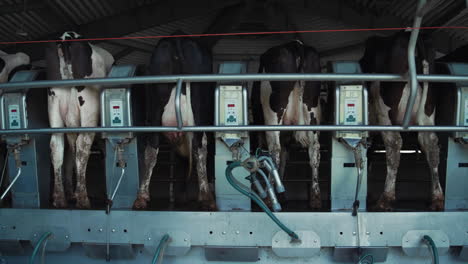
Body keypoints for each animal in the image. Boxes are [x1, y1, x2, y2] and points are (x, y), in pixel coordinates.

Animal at [46, 31, 115, 208]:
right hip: (89, 109)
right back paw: (83, 199)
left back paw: (60, 198)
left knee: (56, 146)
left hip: (55, 106)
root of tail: (67, 37)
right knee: (83, 145)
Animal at [133, 34, 217, 210]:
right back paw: (206, 196)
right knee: (200, 147)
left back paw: (141, 196)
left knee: (152, 148)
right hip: (198, 106)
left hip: (155, 107)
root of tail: (178, 39)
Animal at [250, 40, 324, 208]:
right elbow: (284, 158)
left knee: (274, 151)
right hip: (313, 110)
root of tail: (295, 44)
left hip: (273, 113)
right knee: (314, 150)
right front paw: (281, 192)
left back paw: (269, 198)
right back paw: (315, 197)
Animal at [360, 31, 444, 211]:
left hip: (385, 110)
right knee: (431, 145)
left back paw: (386, 198)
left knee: (394, 144)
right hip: (427, 111)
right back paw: (436, 198)